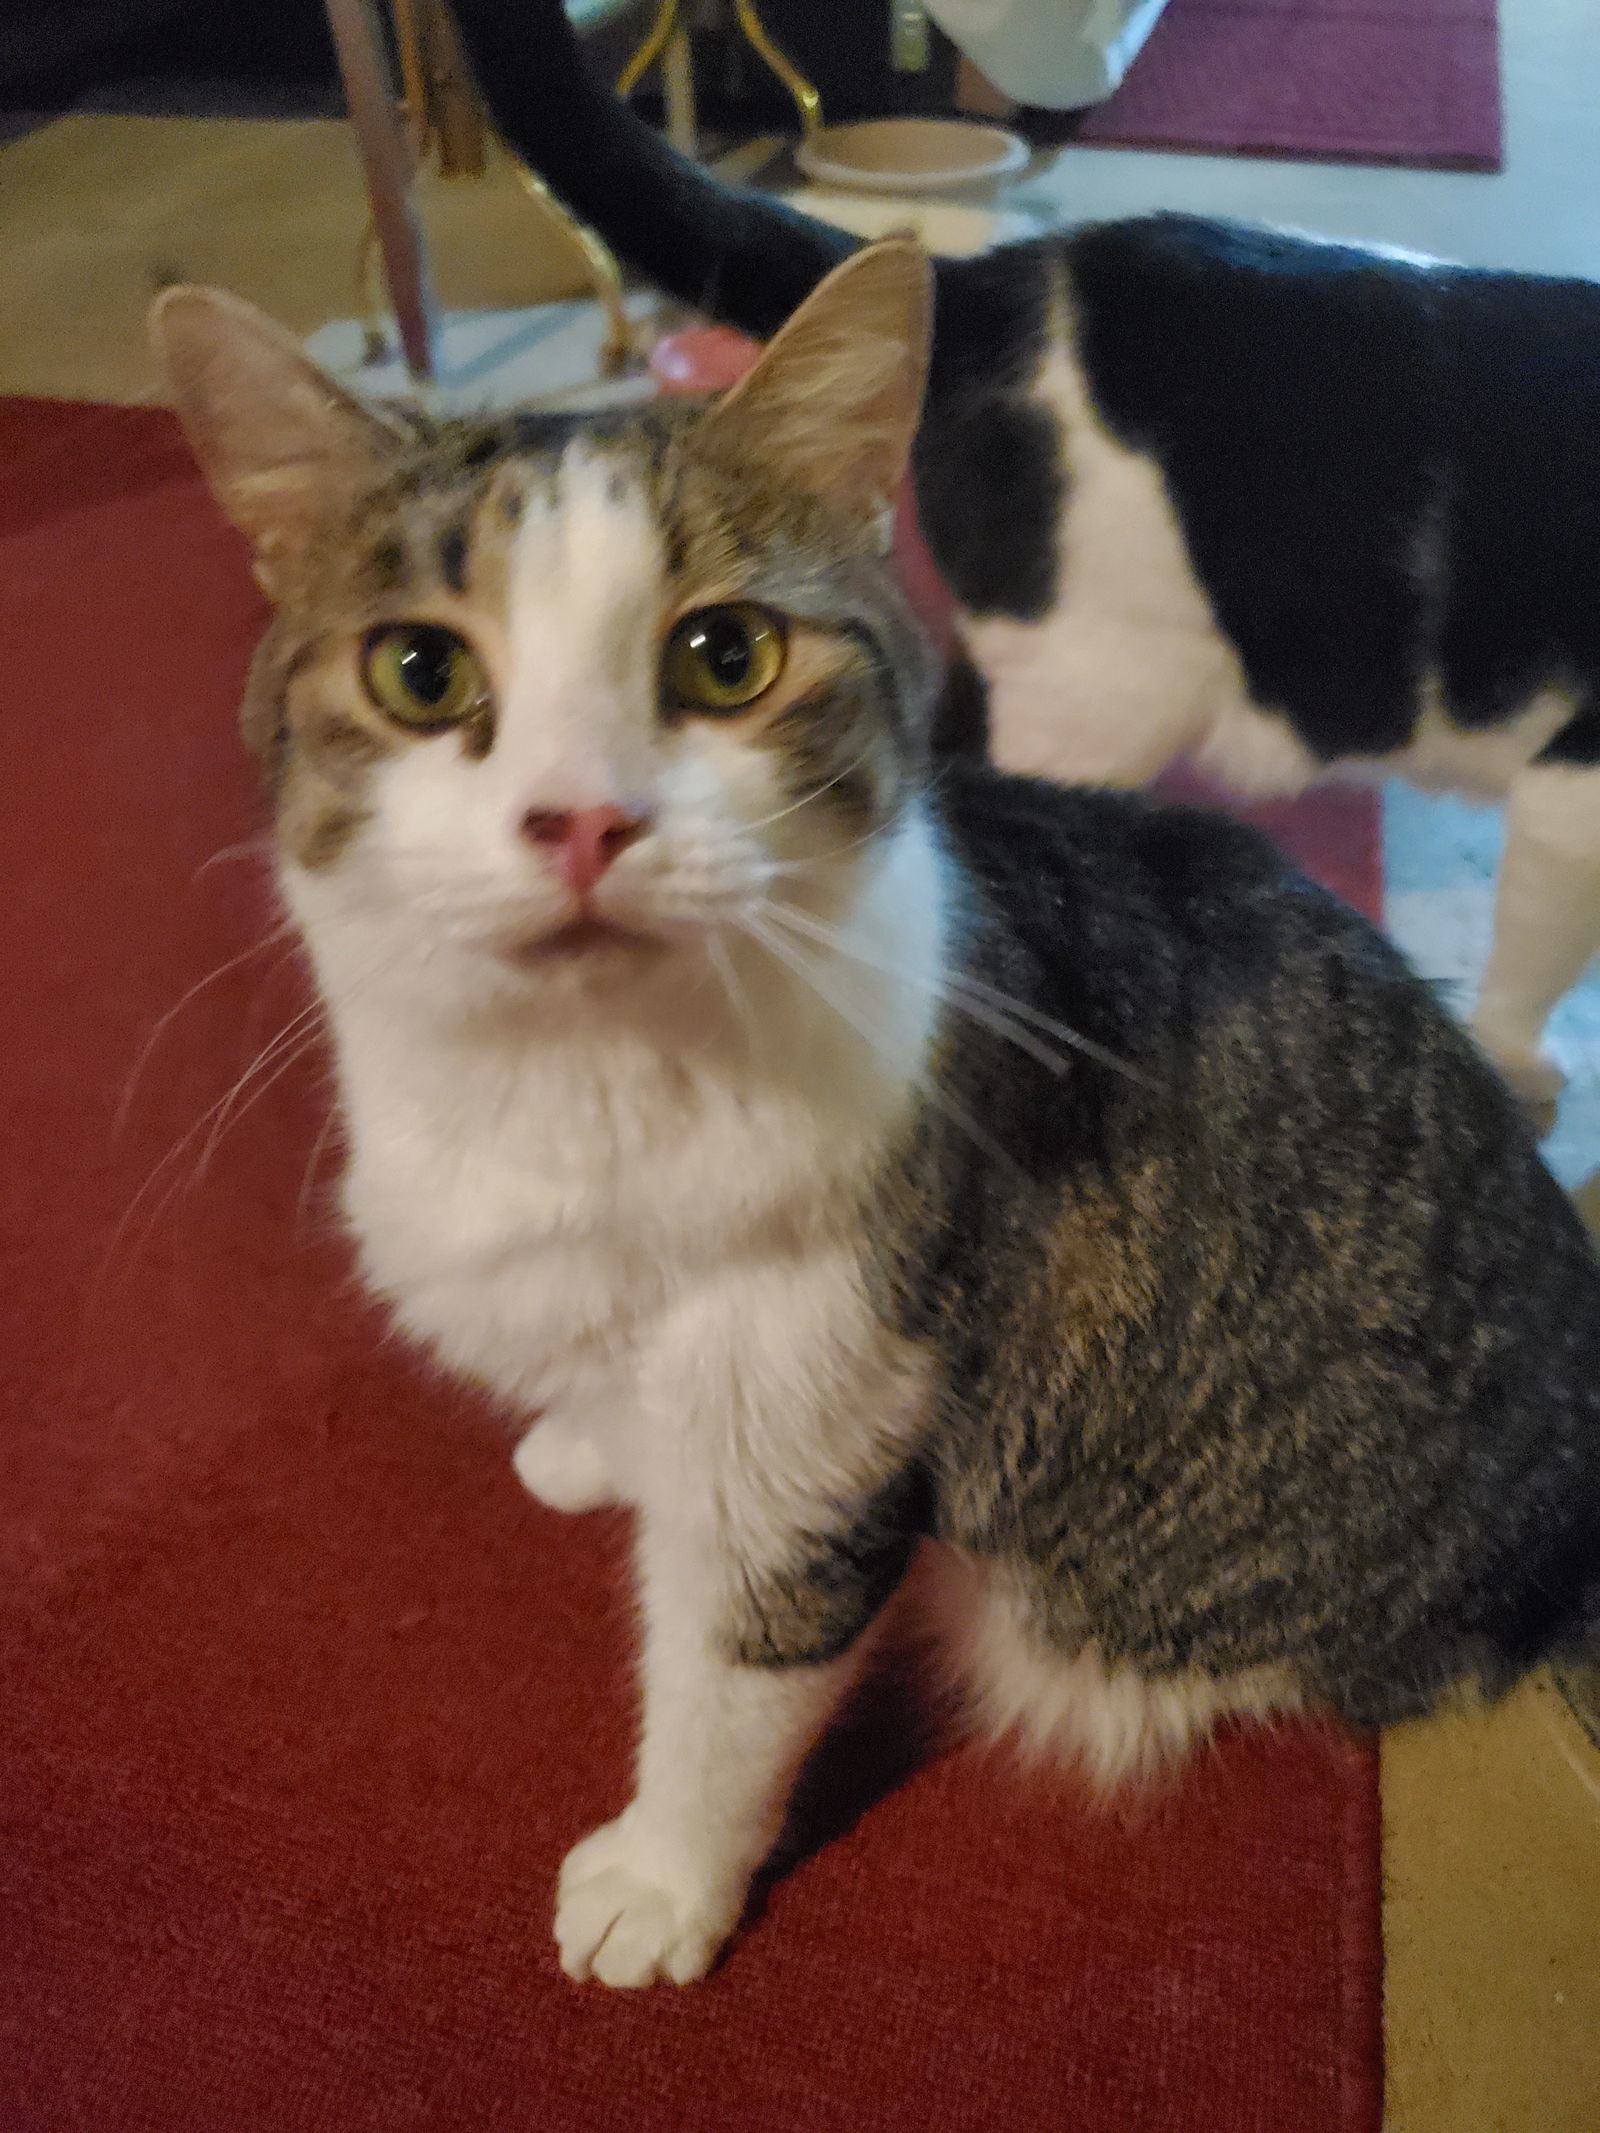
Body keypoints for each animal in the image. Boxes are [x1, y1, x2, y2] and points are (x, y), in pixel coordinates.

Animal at [153, 242, 1600, 1987]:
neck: (579, 1088)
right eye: (419, 671)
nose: (583, 820)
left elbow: (732, 1678)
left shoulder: (813, 1413)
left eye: (726, 657)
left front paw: (662, 1884)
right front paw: (588, 1441)